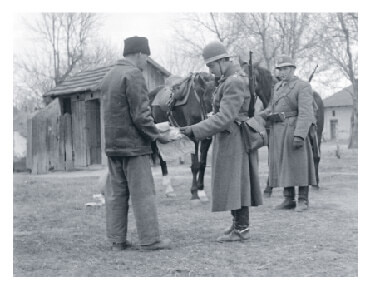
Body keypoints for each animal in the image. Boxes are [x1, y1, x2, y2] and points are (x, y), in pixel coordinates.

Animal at [149, 72, 215, 202]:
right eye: (205, 99)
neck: (197, 100)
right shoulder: (193, 138)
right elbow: (195, 165)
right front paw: (194, 192)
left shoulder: (206, 139)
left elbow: (202, 164)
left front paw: (201, 191)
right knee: (161, 160)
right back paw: (169, 189)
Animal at [240, 62, 324, 196]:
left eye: (250, 75)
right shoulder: (271, 141)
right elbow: (271, 161)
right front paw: (268, 188)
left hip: (318, 134)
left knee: (316, 156)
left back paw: (315, 183)